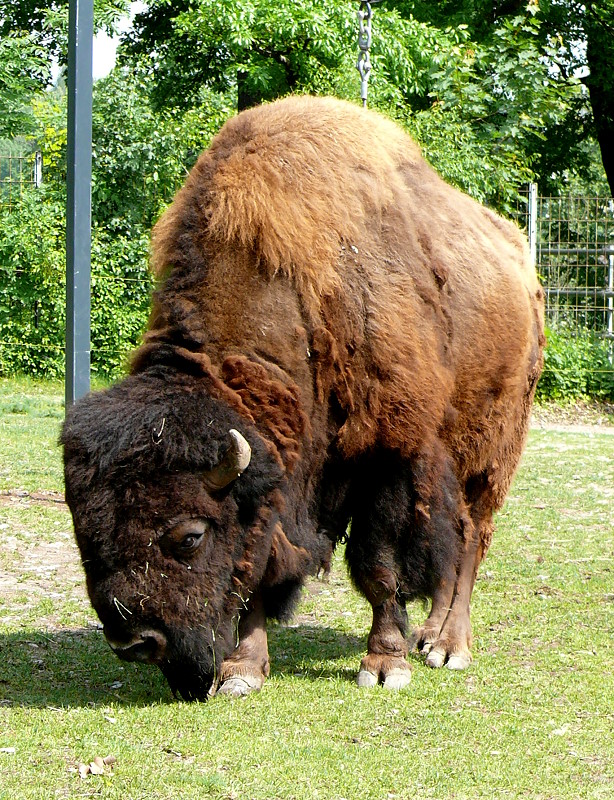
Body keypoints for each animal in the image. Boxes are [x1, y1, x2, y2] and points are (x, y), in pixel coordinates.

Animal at [61, 95, 544, 700]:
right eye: (83, 533)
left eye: (189, 537)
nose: (137, 644)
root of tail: (522, 266)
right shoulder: (283, 484)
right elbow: (258, 568)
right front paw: (242, 670)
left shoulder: (389, 453)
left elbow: (378, 565)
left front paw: (383, 665)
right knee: (450, 541)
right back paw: (429, 636)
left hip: (492, 450)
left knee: (473, 539)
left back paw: (450, 647)